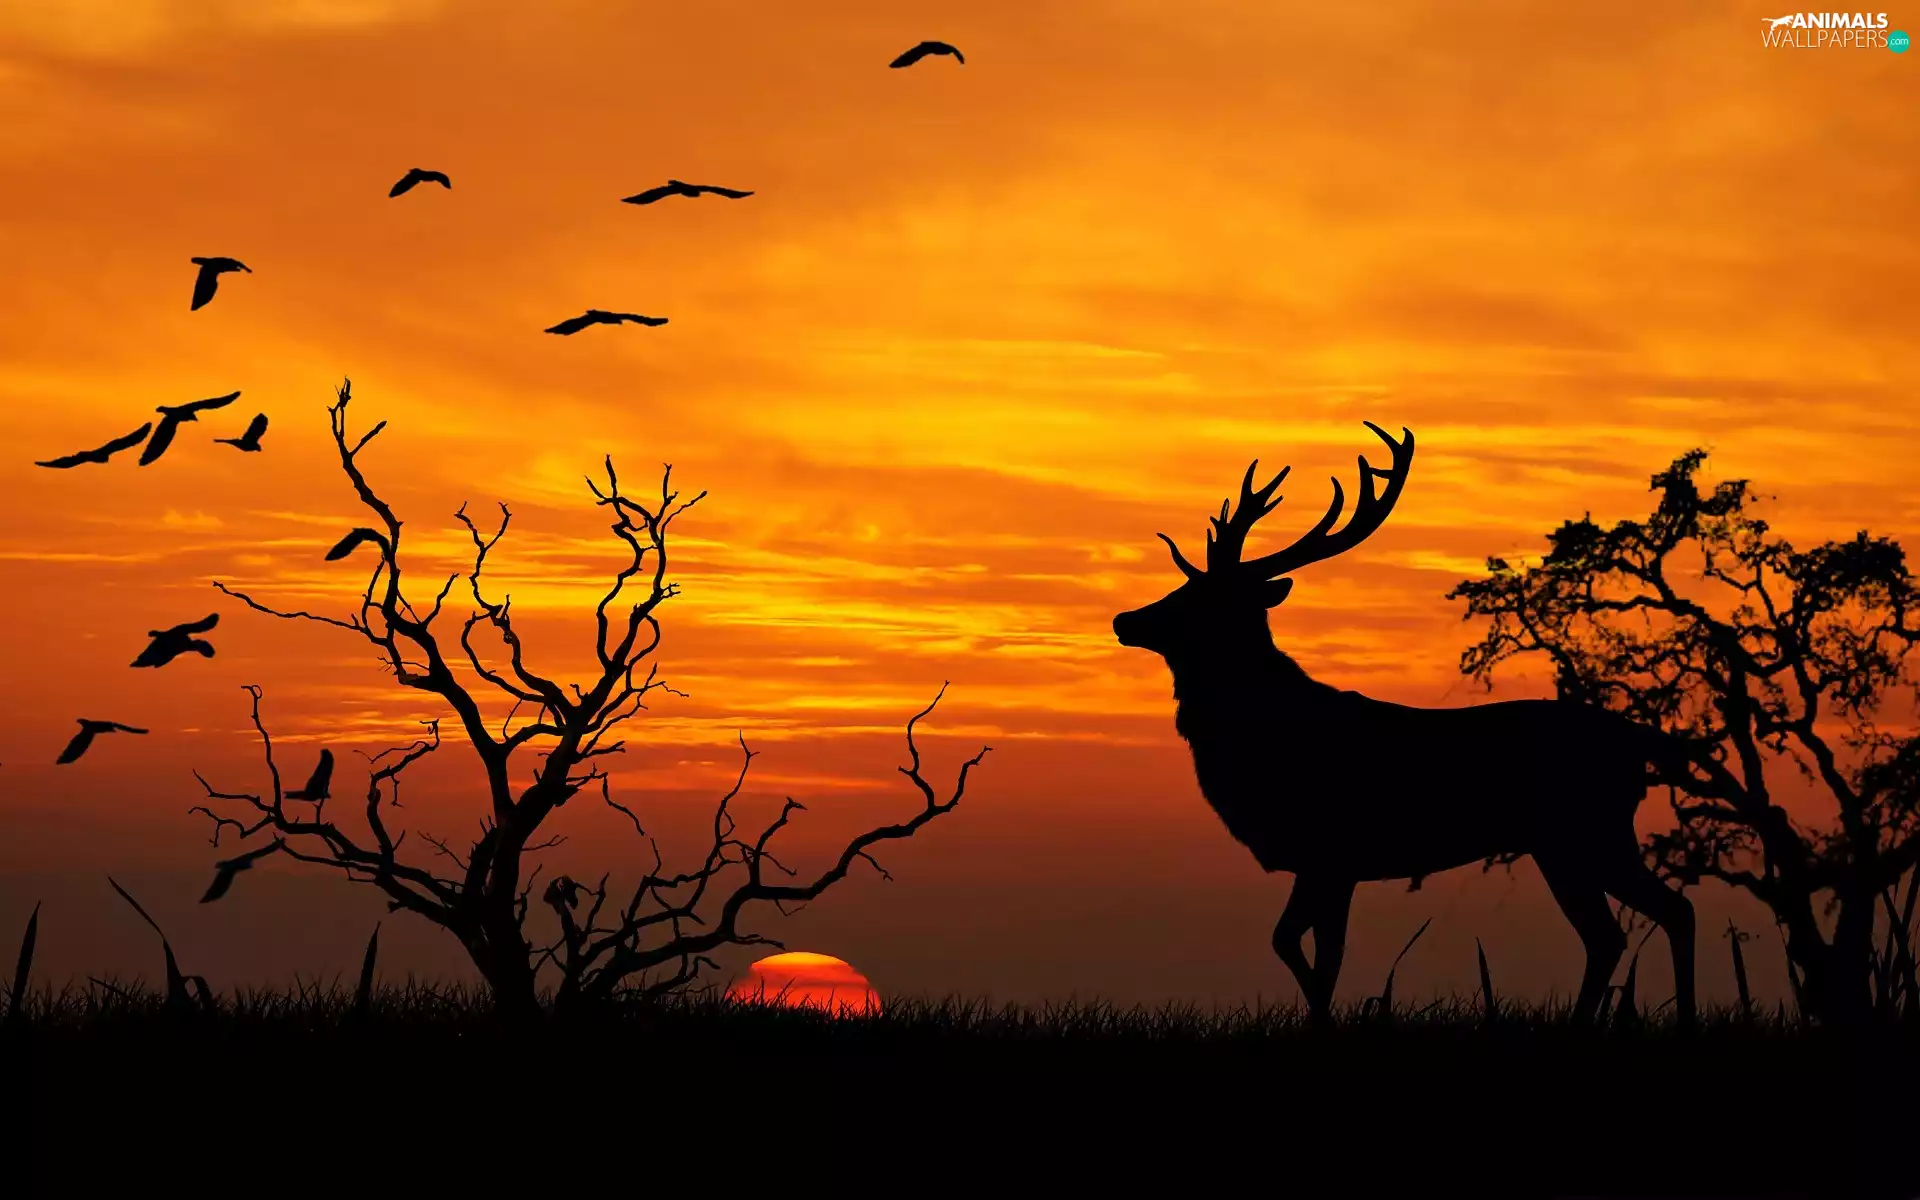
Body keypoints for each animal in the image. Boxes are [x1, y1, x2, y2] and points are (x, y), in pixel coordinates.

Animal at [1111, 422, 1697, 1025]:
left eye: (1201, 597)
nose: (1124, 619)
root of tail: (1639, 742)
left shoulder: (1331, 850)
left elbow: (1308, 950)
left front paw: (1326, 1021)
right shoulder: (1324, 864)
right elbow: (1308, 948)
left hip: (1586, 830)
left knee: (1652, 917)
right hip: (1572, 842)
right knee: (1629, 927)